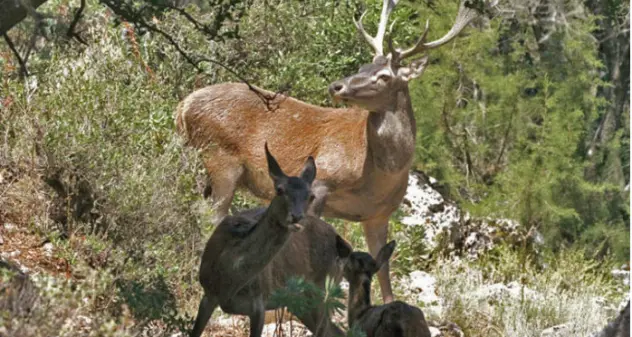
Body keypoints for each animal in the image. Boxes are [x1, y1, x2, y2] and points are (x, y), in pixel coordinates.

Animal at [175, 0, 496, 302]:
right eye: (363, 66)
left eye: (383, 75)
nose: (336, 86)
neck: (377, 173)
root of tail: (183, 106)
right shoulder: (322, 181)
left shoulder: (379, 214)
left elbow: (383, 269)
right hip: (220, 158)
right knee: (211, 215)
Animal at [190, 143, 354, 336]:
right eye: (279, 190)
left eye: (311, 196)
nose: (297, 217)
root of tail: (342, 244)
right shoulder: (208, 294)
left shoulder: (260, 302)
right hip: (303, 303)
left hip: (324, 292)